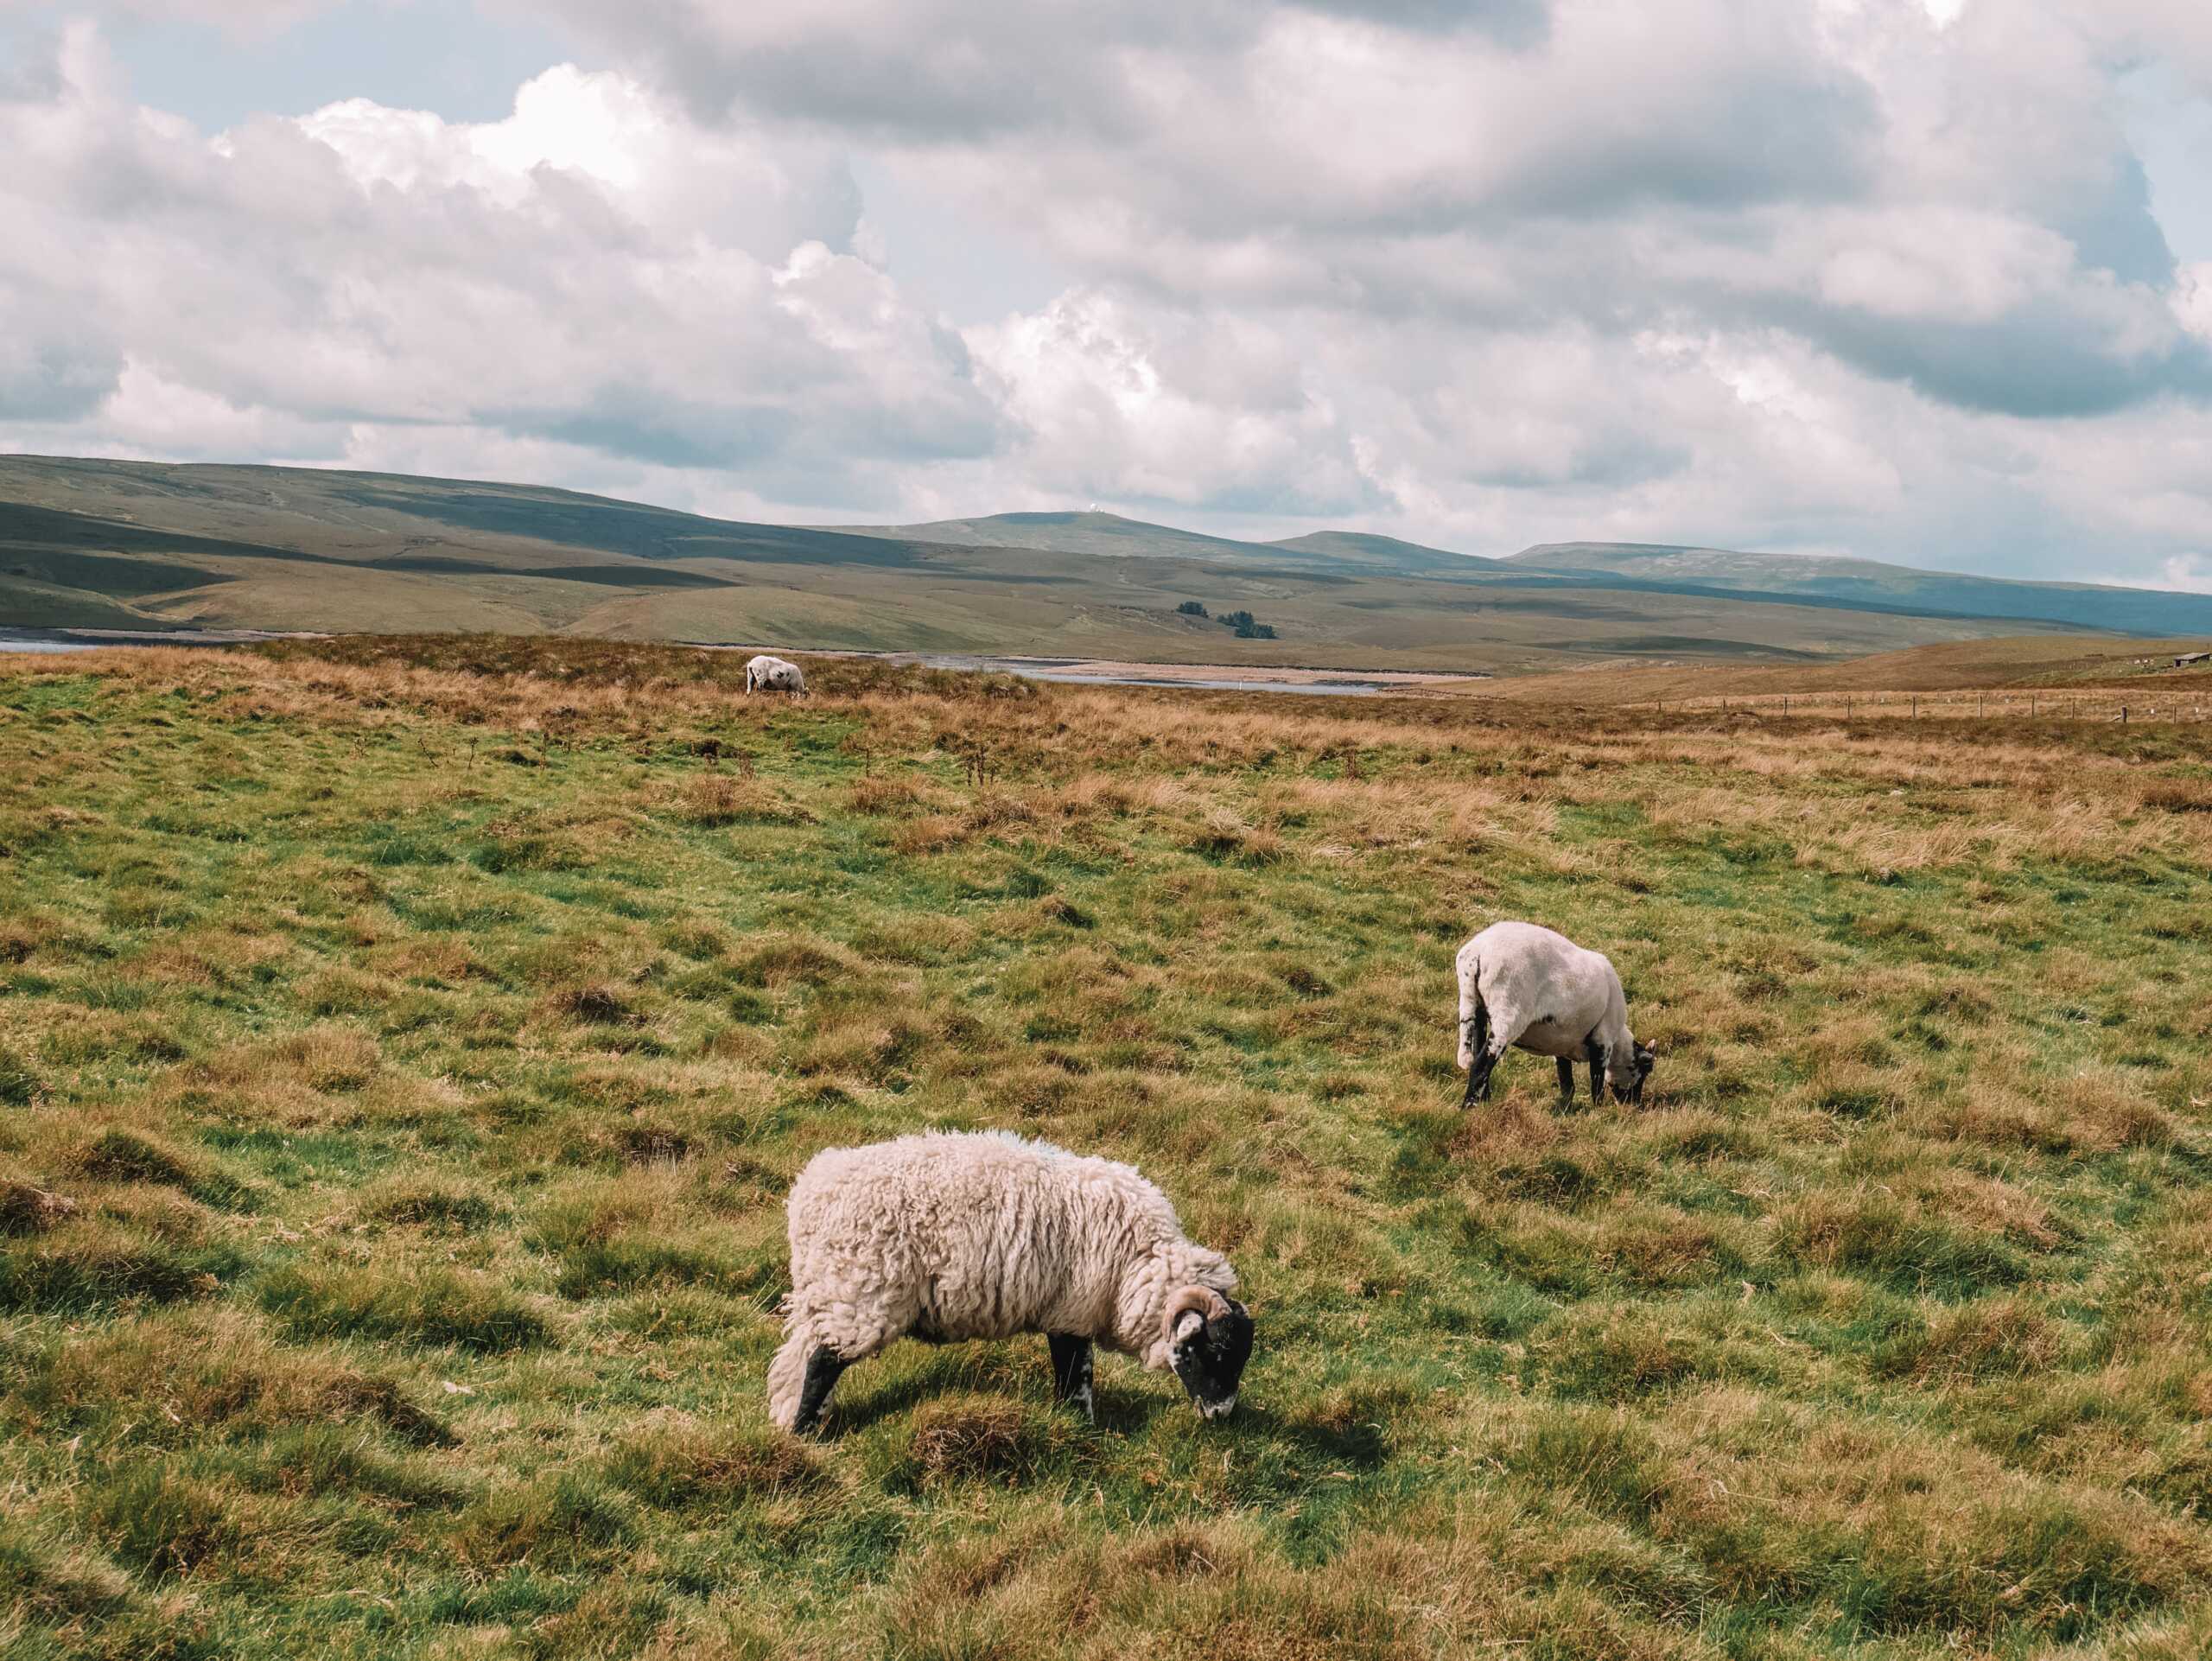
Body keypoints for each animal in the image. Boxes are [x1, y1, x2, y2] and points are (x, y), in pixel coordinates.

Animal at [766, 1130, 1253, 1436]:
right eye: (1211, 1352)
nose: (1221, 1415)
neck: (1137, 1265)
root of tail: (811, 1189)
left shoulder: (1072, 1313)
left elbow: (1076, 1376)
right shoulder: (1071, 1312)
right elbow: (1076, 1377)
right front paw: (1082, 1428)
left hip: (828, 1291)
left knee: (799, 1359)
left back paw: (794, 1420)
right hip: (860, 1291)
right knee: (822, 1363)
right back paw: (806, 1436)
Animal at [1455, 920, 1655, 1109]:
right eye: (1644, 1071)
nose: (1634, 1105)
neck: (1618, 1042)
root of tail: (1478, 951)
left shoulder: (1562, 1043)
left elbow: (1567, 1083)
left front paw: (1567, 1108)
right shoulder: (1602, 1041)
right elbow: (1596, 1084)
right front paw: (1598, 1110)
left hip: (1474, 1006)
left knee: (1476, 1056)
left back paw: (1484, 1101)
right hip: (1507, 1012)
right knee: (1480, 1066)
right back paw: (1470, 1107)